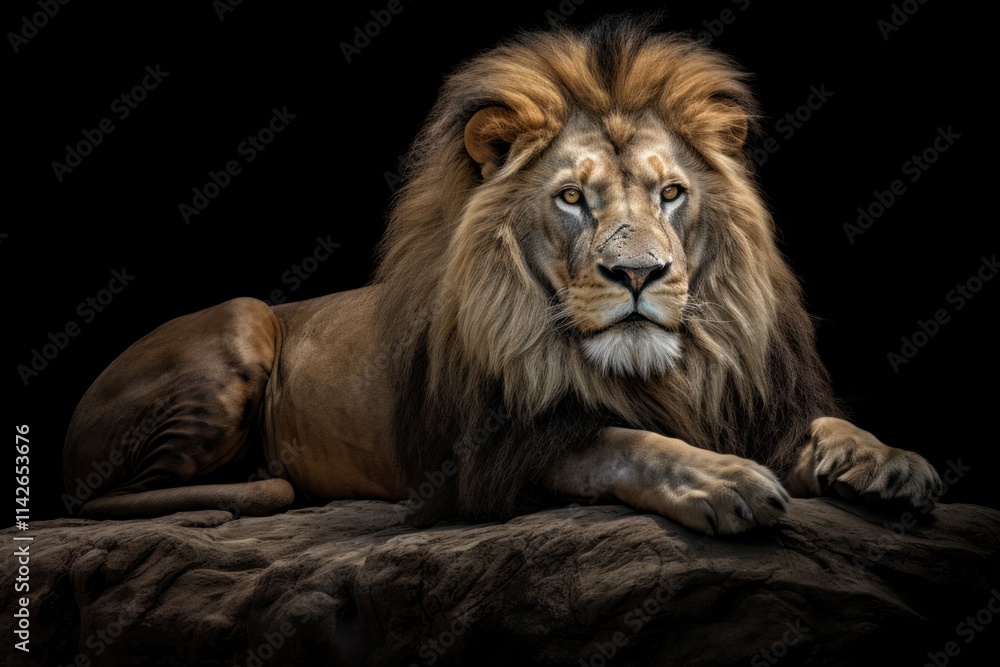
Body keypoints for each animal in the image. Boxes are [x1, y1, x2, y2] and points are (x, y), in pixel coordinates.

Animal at [63, 17, 942, 535]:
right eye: (573, 198)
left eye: (670, 193)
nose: (638, 273)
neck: (661, 372)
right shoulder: (487, 455)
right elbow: (622, 441)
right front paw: (721, 479)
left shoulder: (755, 397)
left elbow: (829, 425)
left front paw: (889, 460)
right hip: (241, 320)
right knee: (88, 502)